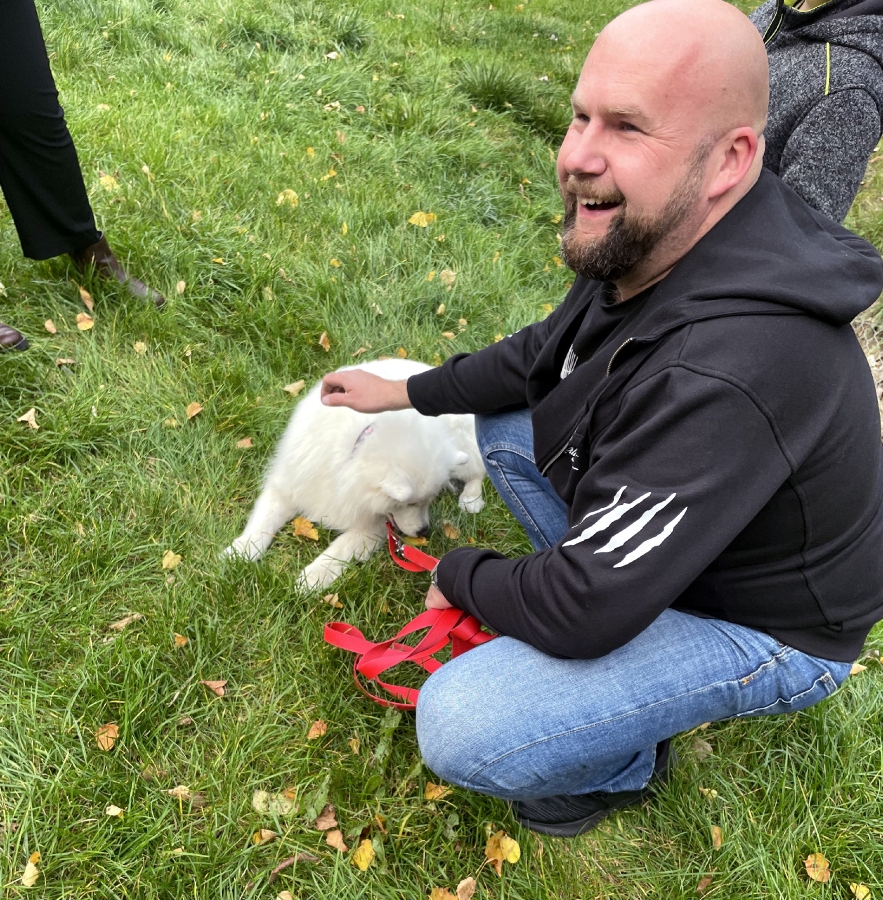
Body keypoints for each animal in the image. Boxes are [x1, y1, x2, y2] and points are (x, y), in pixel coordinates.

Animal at [224, 358, 486, 589]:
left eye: (428, 501)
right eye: (410, 504)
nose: (424, 531)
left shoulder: (371, 526)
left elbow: (340, 547)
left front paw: (312, 577)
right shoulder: (289, 485)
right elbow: (263, 521)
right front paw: (242, 551)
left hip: (462, 450)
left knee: (479, 472)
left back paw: (471, 499)